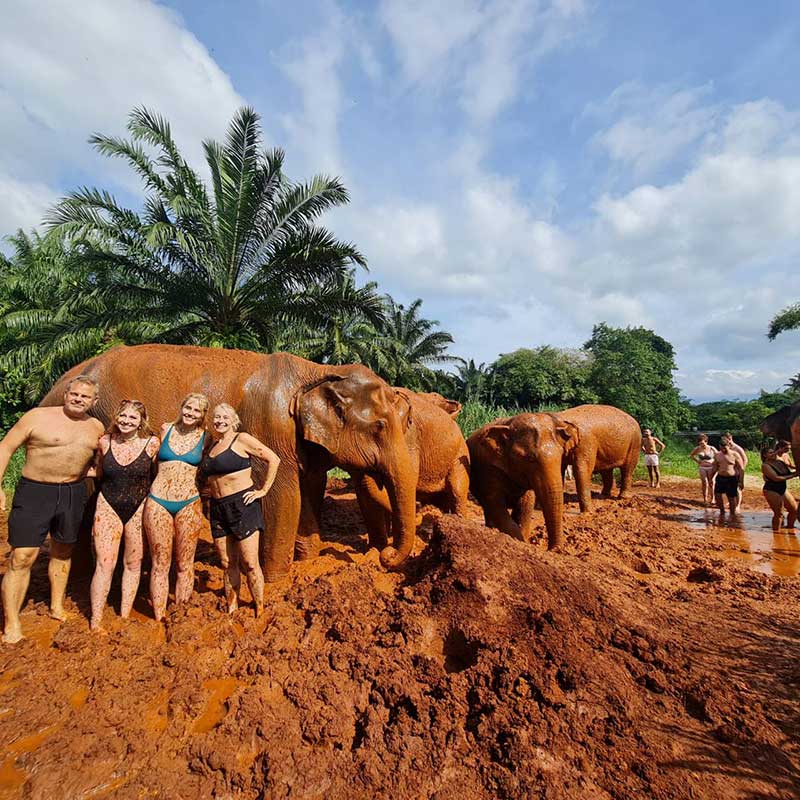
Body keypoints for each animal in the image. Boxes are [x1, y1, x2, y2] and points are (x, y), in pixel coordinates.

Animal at [42, 344, 419, 580]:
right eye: (379, 427)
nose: (384, 558)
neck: (317, 370)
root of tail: (57, 384)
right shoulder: (269, 425)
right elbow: (282, 496)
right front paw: (277, 580)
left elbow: (310, 492)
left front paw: (307, 563)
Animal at [467, 413, 580, 549]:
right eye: (530, 459)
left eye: (561, 456)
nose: (556, 549)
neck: (508, 423)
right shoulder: (488, 469)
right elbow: (495, 504)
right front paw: (519, 541)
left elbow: (526, 505)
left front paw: (523, 541)